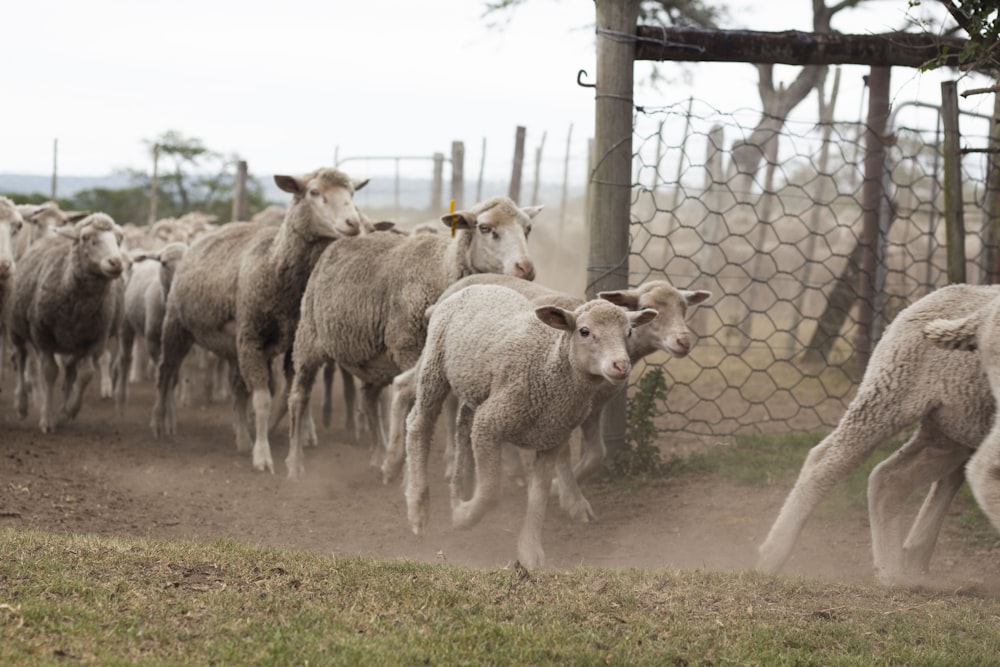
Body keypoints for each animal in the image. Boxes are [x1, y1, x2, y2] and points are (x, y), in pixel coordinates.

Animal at [6, 213, 126, 434]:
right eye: (86, 237)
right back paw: (22, 406)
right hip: (15, 328)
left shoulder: (96, 339)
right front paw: (47, 419)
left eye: (119, 238)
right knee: (20, 358)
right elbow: (50, 372)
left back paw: (64, 407)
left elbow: (86, 374)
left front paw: (70, 410)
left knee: (70, 370)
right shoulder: (42, 336)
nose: (116, 263)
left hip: (73, 342)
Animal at [148, 166, 368, 474]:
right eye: (314, 192)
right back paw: (160, 423)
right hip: (177, 326)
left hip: (234, 344)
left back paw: (241, 436)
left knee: (237, 388)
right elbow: (262, 400)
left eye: (351, 193)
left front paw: (283, 445)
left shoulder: (288, 346)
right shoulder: (251, 338)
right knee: (165, 372)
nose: (352, 223)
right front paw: (263, 456)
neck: (273, 267)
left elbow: (287, 396)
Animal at [286, 194, 544, 480]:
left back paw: (379, 455)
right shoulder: (409, 347)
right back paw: (295, 463)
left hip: (375, 360)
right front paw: (417, 465)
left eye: (528, 228)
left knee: (369, 400)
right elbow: (424, 405)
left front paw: (453, 463)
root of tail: (343, 239)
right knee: (298, 398)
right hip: (309, 338)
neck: (441, 269)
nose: (525, 269)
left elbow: (452, 405)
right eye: (485, 228)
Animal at [402, 284, 660, 572]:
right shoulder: (489, 424)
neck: (548, 368)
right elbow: (490, 492)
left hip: (475, 388)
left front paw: (530, 555)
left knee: (462, 423)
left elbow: (538, 498)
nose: (621, 366)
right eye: (584, 331)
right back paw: (418, 507)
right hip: (434, 365)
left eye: (629, 333)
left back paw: (459, 484)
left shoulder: (551, 440)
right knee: (419, 424)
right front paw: (462, 516)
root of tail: (474, 287)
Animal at [752, 284, 996, 588]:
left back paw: (893, 571)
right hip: (892, 392)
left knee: (887, 477)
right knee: (828, 463)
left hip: (954, 426)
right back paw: (772, 556)